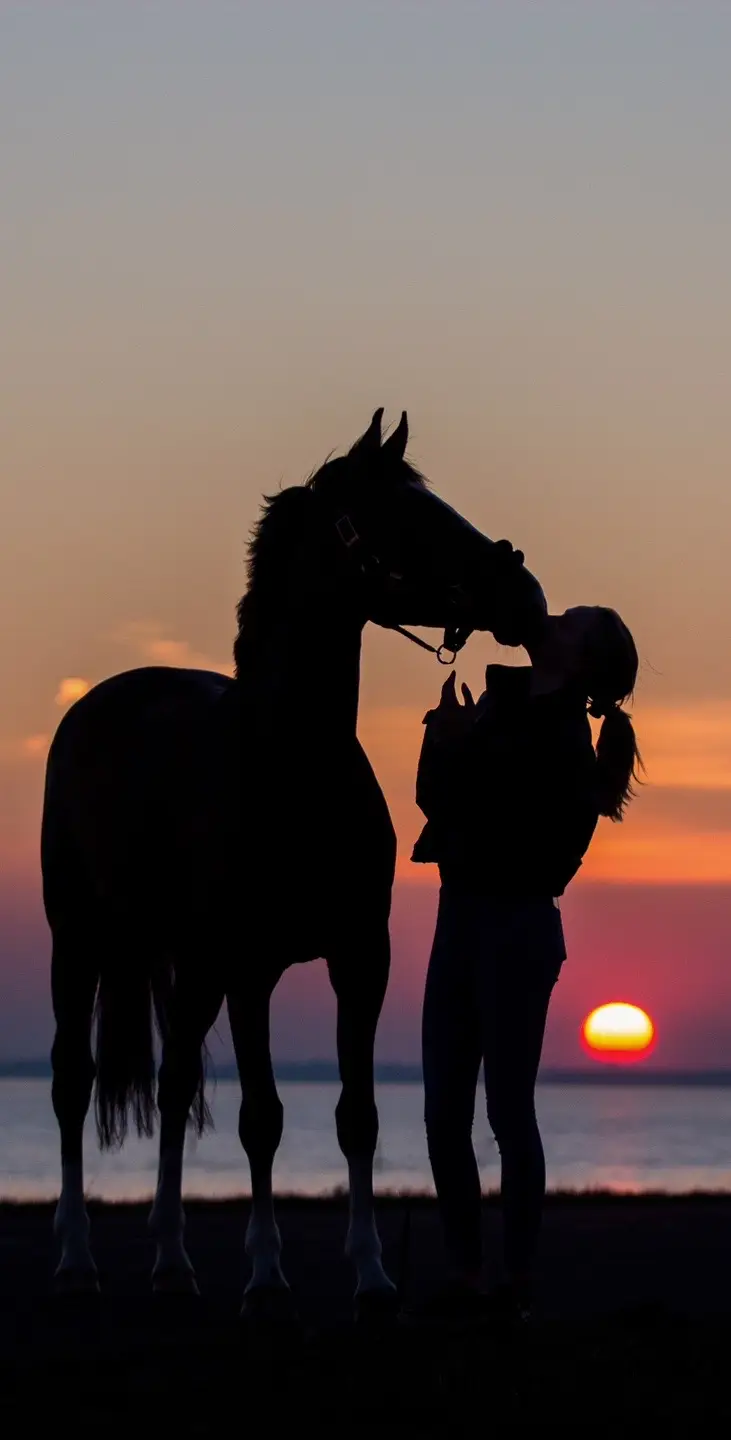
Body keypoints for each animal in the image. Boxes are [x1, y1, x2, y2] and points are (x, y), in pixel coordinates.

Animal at [42, 403, 546, 1319]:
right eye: (406, 516)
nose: (523, 594)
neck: (292, 770)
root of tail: (102, 701)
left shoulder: (360, 961)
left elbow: (357, 1116)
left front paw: (372, 1274)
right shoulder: (251, 970)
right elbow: (263, 1119)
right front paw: (268, 1276)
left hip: (188, 967)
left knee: (174, 1088)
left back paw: (172, 1262)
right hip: (84, 941)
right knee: (73, 1082)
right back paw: (78, 1262)